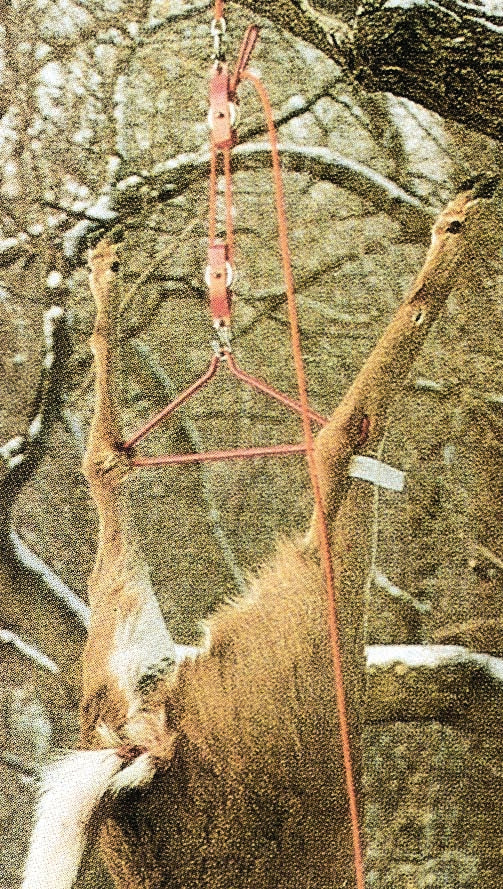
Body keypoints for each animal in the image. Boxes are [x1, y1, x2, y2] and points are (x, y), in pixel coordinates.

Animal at [21, 176, 501, 889]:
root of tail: (142, 744)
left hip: (124, 641)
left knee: (106, 462)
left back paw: (106, 267)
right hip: (314, 628)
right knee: (344, 433)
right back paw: (460, 219)